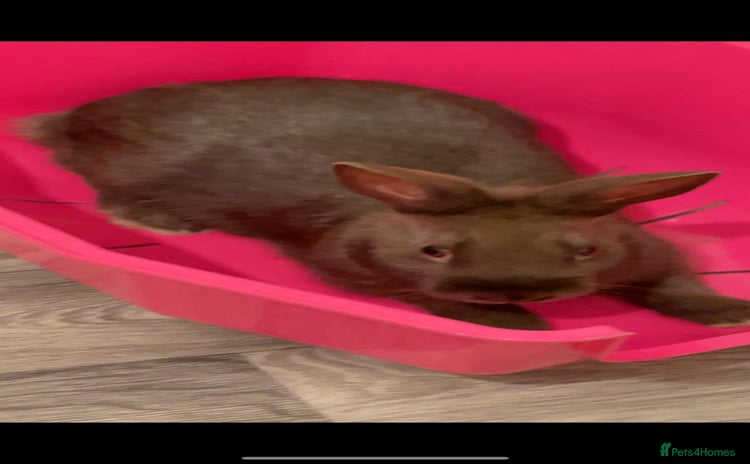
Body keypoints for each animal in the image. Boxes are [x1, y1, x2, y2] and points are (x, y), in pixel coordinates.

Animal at [16, 77, 750, 330]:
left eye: (585, 248)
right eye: (435, 249)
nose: (520, 291)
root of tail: (75, 117)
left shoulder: (645, 249)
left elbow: (676, 282)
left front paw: (728, 315)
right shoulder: (344, 262)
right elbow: (417, 296)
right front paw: (521, 327)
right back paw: (153, 218)